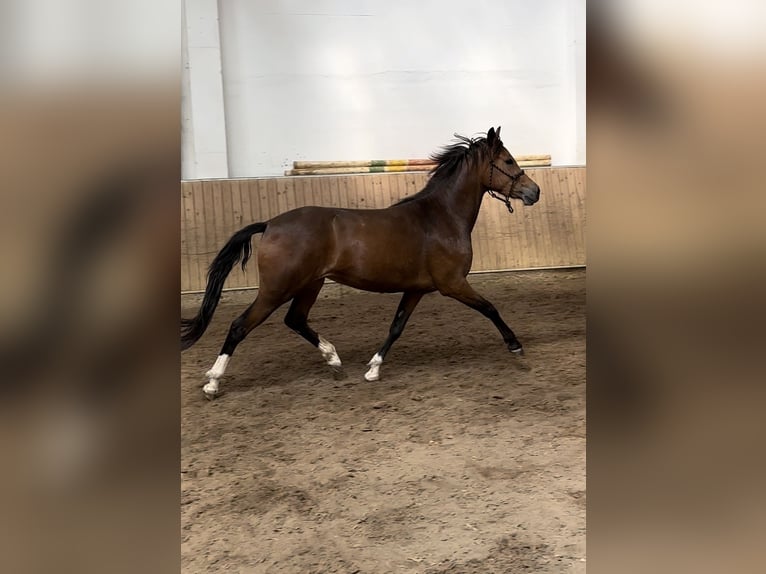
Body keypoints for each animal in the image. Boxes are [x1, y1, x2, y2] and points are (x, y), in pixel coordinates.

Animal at [182, 126, 540, 398]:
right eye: (507, 160)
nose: (533, 192)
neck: (441, 218)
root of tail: (270, 224)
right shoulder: (453, 284)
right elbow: (490, 308)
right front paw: (516, 348)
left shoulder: (416, 290)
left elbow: (397, 326)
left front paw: (373, 369)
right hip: (276, 289)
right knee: (240, 325)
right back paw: (213, 382)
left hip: (311, 284)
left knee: (295, 319)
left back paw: (333, 359)